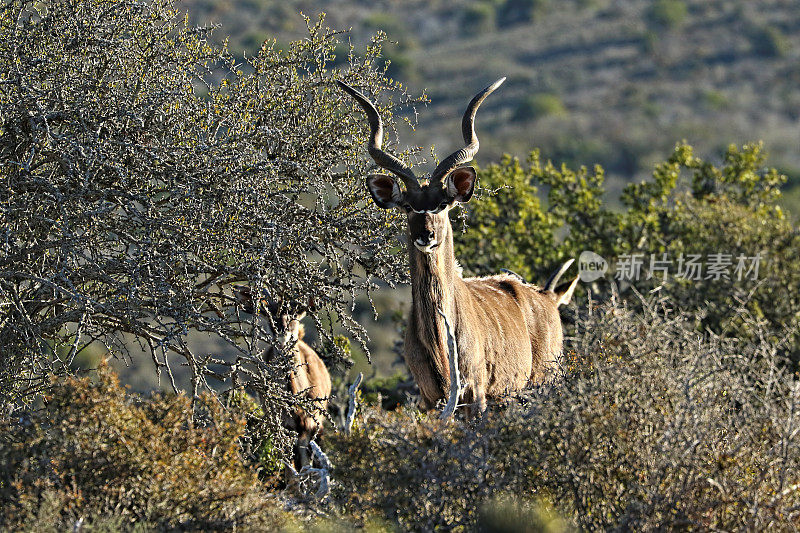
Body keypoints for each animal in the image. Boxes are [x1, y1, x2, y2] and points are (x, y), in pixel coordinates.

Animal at [338, 77, 576, 414]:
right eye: (407, 206)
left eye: (442, 204)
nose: (426, 236)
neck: (440, 344)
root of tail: (548, 297)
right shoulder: (428, 399)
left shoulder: (476, 394)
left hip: (542, 382)